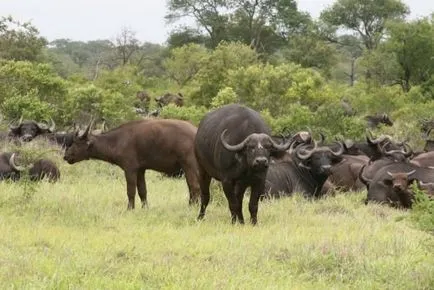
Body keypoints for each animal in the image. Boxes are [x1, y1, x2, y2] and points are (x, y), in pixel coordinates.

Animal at [63, 118, 202, 208]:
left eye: (76, 143)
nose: (66, 156)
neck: (117, 141)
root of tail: (195, 132)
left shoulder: (130, 169)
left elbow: (130, 191)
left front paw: (130, 209)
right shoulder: (141, 170)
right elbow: (142, 191)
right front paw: (145, 208)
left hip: (189, 166)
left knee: (195, 187)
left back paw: (192, 208)